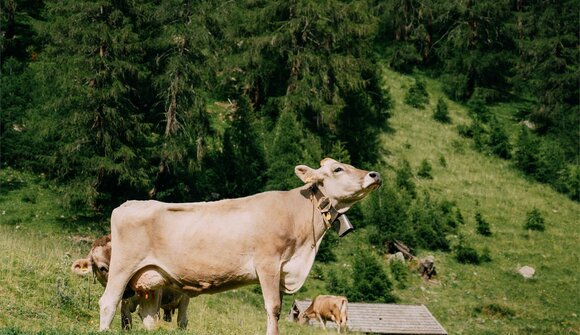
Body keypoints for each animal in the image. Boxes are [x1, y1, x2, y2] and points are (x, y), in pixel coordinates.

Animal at [98, 159, 382, 334]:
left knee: (147, 315)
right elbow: (273, 308)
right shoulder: (268, 263)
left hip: (152, 280)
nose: (375, 175)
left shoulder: (283, 271)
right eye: (338, 169)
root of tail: (129, 203)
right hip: (123, 266)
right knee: (109, 302)